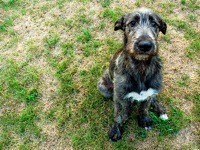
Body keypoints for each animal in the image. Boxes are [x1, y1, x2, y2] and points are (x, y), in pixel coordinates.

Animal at [97, 7, 169, 142]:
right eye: (132, 23)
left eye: (154, 24)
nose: (145, 45)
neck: (141, 67)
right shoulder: (119, 97)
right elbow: (119, 115)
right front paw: (116, 130)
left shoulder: (149, 93)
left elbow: (144, 107)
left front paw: (144, 119)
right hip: (103, 87)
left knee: (153, 98)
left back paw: (160, 110)